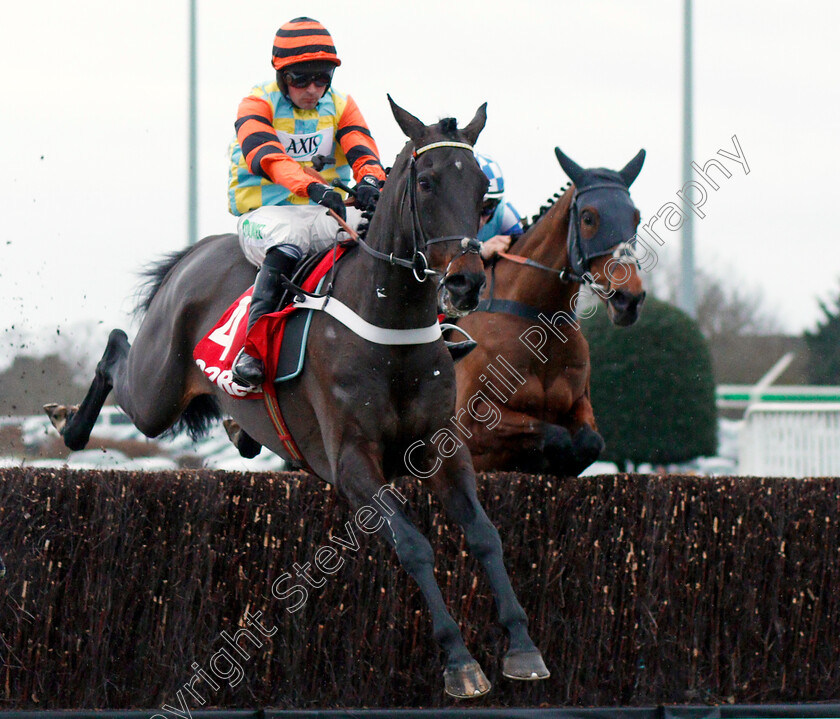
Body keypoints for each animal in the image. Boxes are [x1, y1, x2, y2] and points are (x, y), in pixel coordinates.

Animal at [44, 98, 552, 700]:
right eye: (426, 182)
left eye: (481, 189)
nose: (467, 282)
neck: (390, 325)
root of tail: (198, 252)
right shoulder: (352, 462)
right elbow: (413, 545)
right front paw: (459, 660)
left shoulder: (442, 450)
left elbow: (486, 535)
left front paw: (522, 645)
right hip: (155, 392)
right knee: (118, 350)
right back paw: (67, 420)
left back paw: (233, 430)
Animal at [452, 148, 648, 478]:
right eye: (588, 217)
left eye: (636, 217)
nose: (628, 298)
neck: (540, 322)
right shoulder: (470, 425)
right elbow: (554, 436)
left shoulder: (581, 404)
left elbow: (589, 442)